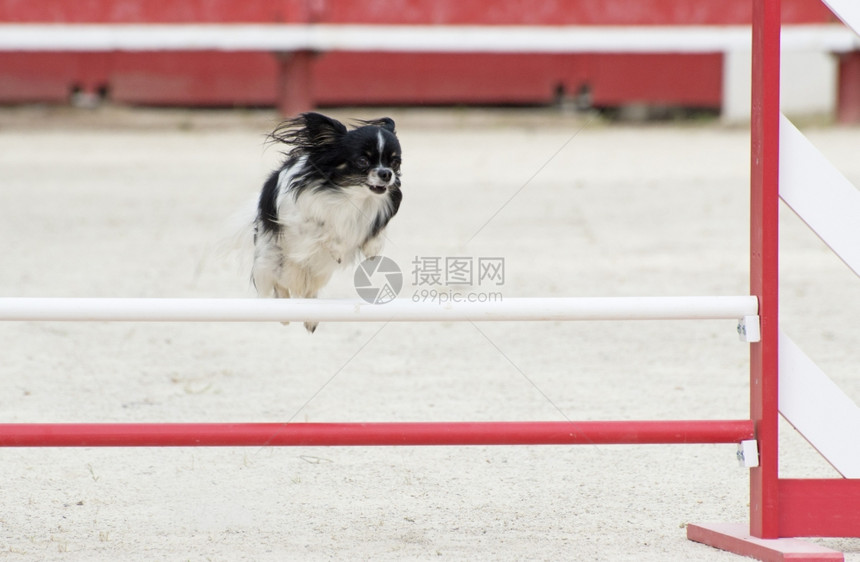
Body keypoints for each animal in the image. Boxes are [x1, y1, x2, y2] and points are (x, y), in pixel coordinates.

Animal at [250, 114, 402, 332]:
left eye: (395, 162)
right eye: (362, 161)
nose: (387, 173)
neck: (349, 194)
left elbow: (374, 231)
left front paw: (372, 247)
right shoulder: (298, 220)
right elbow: (323, 227)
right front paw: (338, 248)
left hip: (317, 271)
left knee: (309, 291)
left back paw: (310, 318)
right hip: (272, 258)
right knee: (279, 282)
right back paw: (284, 312)